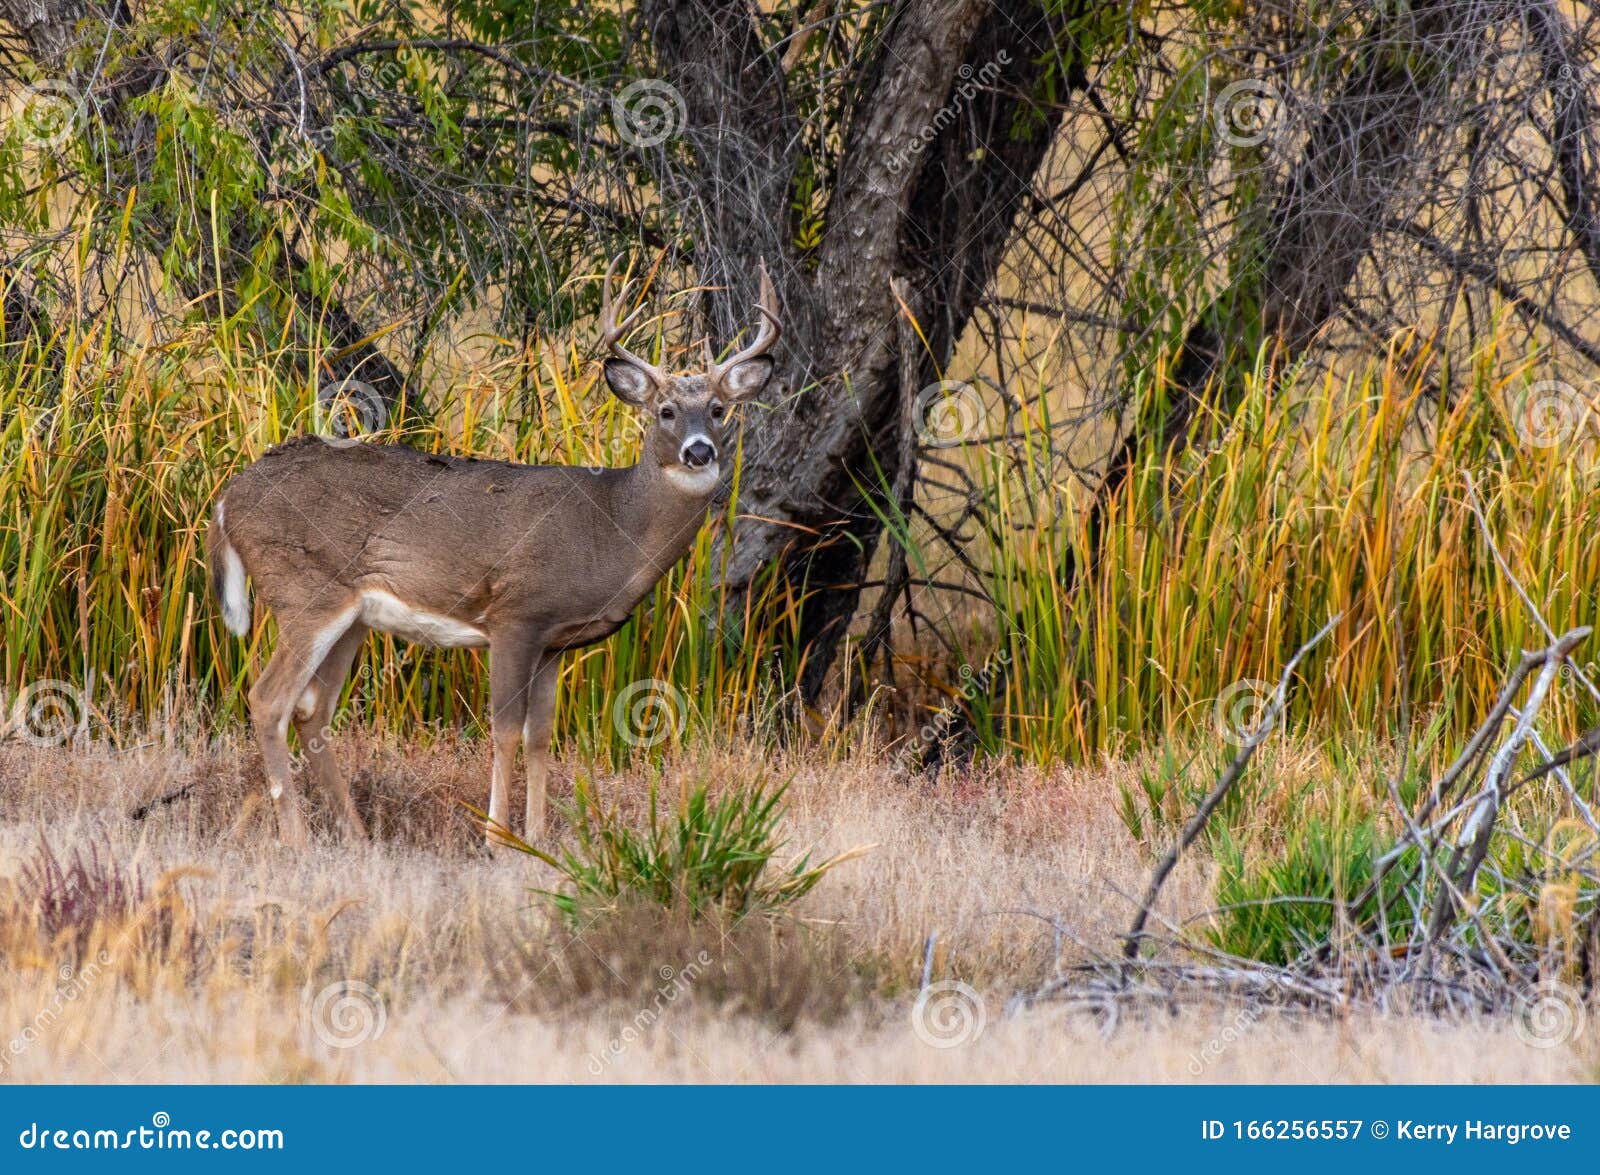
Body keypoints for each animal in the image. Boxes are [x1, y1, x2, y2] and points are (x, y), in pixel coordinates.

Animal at [203, 259, 777, 845]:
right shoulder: (515, 613)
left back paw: (358, 835)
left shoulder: (555, 641)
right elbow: (503, 730)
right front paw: (497, 838)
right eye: (665, 411)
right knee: (268, 700)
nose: (698, 451)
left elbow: (540, 734)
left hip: (351, 616)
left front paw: (538, 838)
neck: (613, 525)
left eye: (718, 410)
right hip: (304, 592)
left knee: (311, 710)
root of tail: (228, 498)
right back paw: (296, 837)